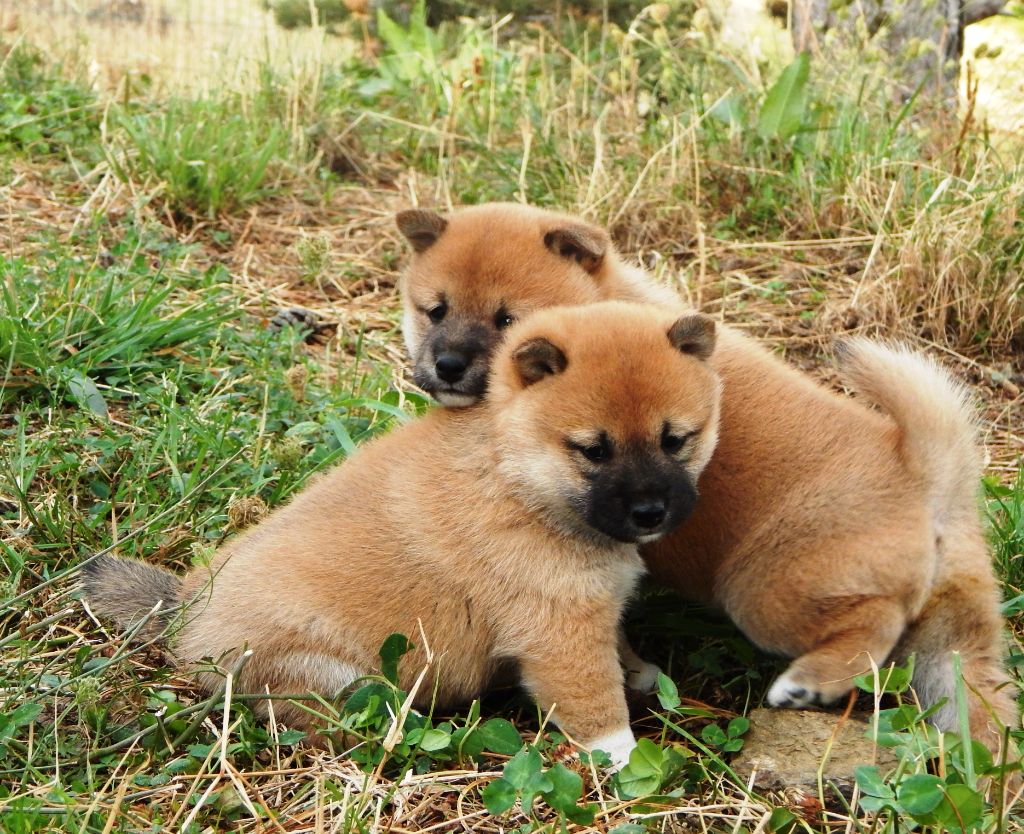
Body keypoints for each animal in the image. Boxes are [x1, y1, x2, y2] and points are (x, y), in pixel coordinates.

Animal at [81, 301, 720, 770]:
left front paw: (641, 673)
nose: (651, 512)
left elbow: (619, 650)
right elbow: (597, 707)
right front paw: (627, 762)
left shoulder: (593, 611)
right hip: (327, 674)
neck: (514, 477)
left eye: (675, 440)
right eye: (593, 450)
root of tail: (186, 614)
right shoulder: (559, 635)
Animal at [395, 203, 1019, 758]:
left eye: (505, 319)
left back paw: (806, 682)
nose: (447, 365)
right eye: (435, 311)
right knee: (984, 717)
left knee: (874, 620)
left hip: (763, 592)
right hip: (954, 653)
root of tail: (926, 474)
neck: (607, 305)